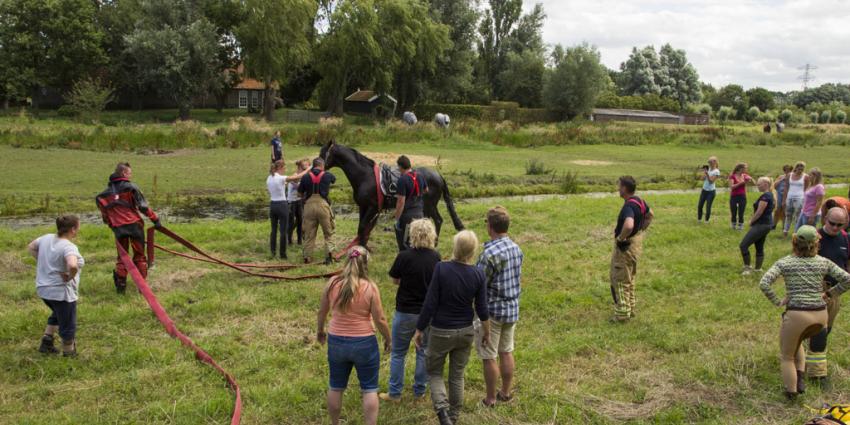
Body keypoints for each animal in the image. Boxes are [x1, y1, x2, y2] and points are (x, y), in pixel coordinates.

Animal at [318, 140, 464, 245]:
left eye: (323, 153)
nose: (317, 166)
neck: (365, 176)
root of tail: (438, 175)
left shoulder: (372, 208)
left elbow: (363, 227)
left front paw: (362, 248)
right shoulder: (363, 207)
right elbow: (361, 228)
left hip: (430, 205)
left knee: (438, 220)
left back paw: (435, 243)